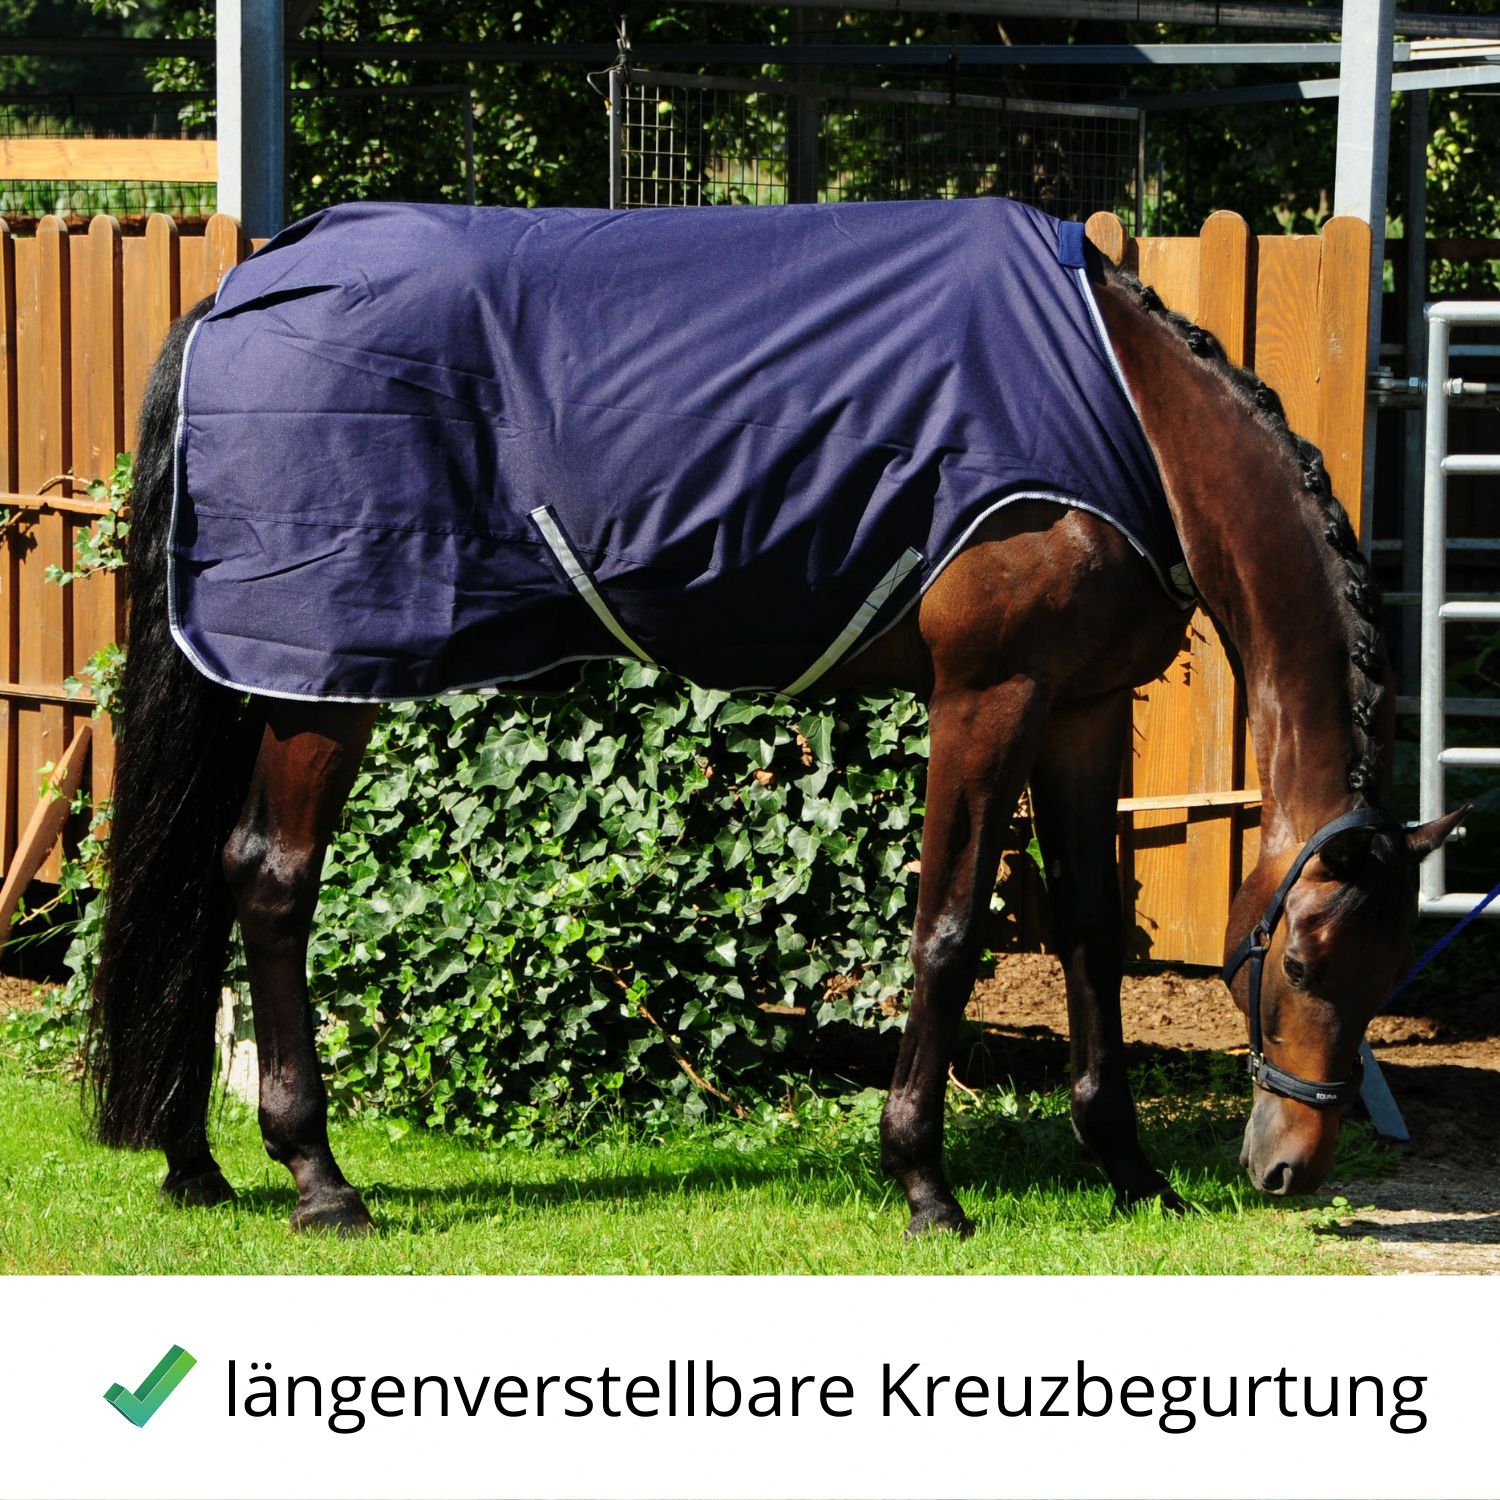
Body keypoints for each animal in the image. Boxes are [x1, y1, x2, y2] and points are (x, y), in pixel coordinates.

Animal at [84, 199, 1461, 1238]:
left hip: (267, 676)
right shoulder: (989, 696)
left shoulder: (1082, 706)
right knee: (271, 881)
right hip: (325, 676)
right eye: (1302, 961)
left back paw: (198, 1165)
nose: (1288, 1168)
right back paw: (320, 1181)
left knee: (207, 876)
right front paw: (925, 1187)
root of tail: (240, 291)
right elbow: (948, 933)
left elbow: (1085, 934)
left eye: (1389, 968)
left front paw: (1129, 1172)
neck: (1123, 415)